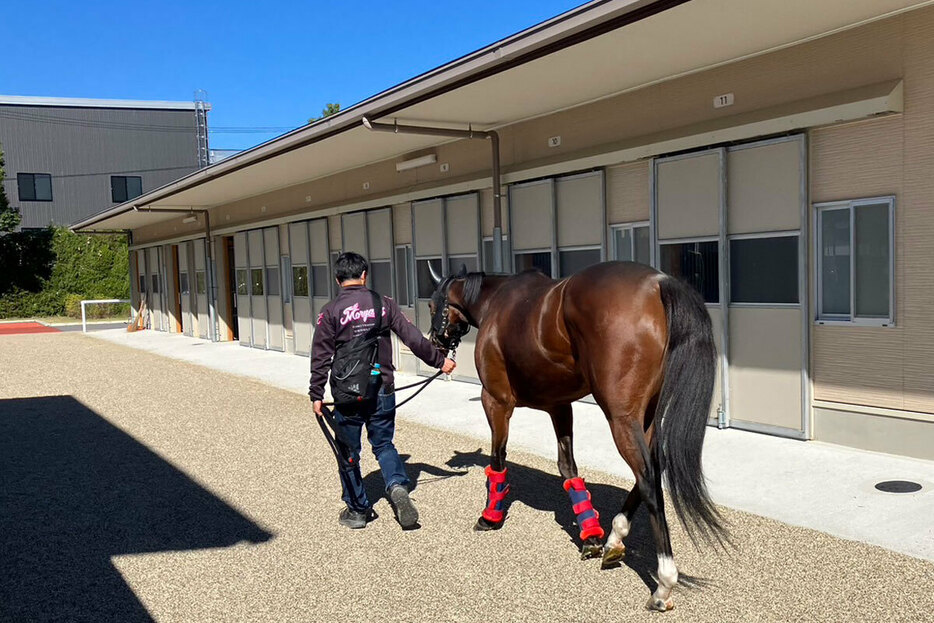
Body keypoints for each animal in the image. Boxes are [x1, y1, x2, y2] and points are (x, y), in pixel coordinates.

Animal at [428, 260, 728, 612]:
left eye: (432, 304)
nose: (435, 342)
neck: (497, 301)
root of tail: (658, 282)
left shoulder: (496, 400)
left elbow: (498, 457)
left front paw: (490, 516)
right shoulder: (559, 406)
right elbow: (567, 468)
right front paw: (591, 536)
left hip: (621, 417)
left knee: (648, 479)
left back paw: (663, 583)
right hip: (646, 417)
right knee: (650, 471)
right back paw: (614, 539)